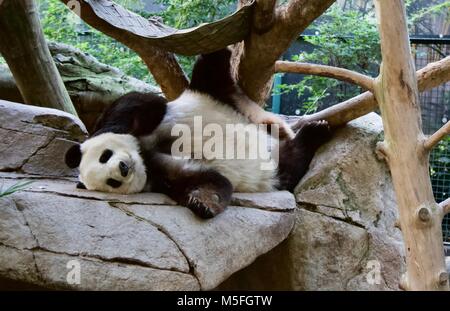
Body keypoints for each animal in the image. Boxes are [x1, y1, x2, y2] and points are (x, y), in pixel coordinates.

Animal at [64, 48, 330, 219]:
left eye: (105, 155)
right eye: (112, 182)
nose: (123, 168)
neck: (143, 152)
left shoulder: (140, 119)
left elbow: (136, 104)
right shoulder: (159, 175)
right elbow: (208, 179)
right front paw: (203, 204)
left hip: (206, 95)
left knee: (211, 73)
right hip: (272, 166)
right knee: (292, 162)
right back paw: (314, 133)